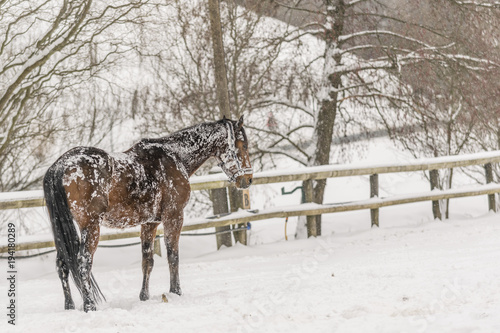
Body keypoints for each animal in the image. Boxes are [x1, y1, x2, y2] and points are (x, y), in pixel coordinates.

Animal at [42, 115, 252, 310]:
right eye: (242, 145)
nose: (248, 179)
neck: (175, 157)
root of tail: (60, 166)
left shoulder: (150, 223)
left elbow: (147, 260)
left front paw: (144, 296)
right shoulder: (174, 216)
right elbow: (173, 255)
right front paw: (175, 292)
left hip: (63, 229)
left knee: (63, 264)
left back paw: (70, 306)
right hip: (91, 226)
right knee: (82, 263)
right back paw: (89, 305)